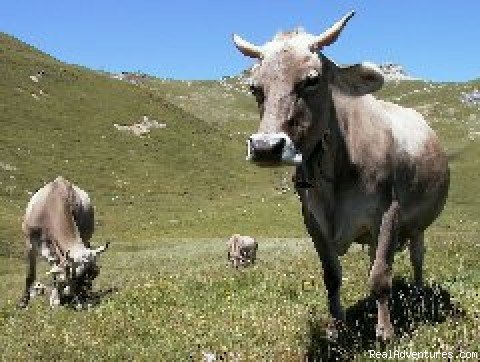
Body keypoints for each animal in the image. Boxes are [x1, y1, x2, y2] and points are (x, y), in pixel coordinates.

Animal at [18, 176, 109, 308]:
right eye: (74, 277)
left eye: (93, 274)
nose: (82, 302)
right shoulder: (30, 242)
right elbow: (30, 274)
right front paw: (23, 302)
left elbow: (57, 271)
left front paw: (56, 298)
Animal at [232, 9, 450, 340]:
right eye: (255, 87)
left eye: (311, 80)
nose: (265, 148)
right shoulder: (313, 221)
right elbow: (332, 276)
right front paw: (337, 329)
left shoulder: (389, 212)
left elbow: (381, 276)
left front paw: (386, 332)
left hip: (418, 225)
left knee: (417, 258)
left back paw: (418, 295)